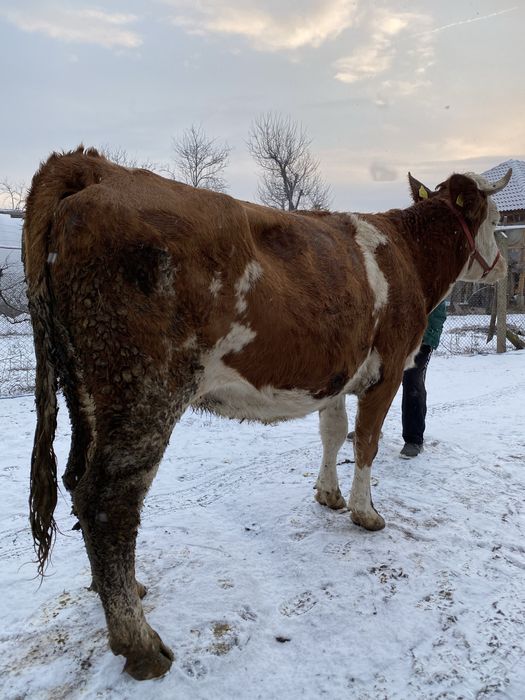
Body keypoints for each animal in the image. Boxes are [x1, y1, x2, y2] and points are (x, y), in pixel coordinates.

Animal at [23, 147, 511, 679]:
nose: (505, 265)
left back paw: (120, 590)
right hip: (142, 386)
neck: (407, 255)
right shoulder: (387, 369)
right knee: (107, 501)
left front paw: (327, 495)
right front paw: (365, 512)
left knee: (76, 479)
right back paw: (140, 642)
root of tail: (97, 168)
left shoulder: (337, 372)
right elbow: (366, 441)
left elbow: (333, 432)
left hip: (87, 390)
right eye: (497, 218)